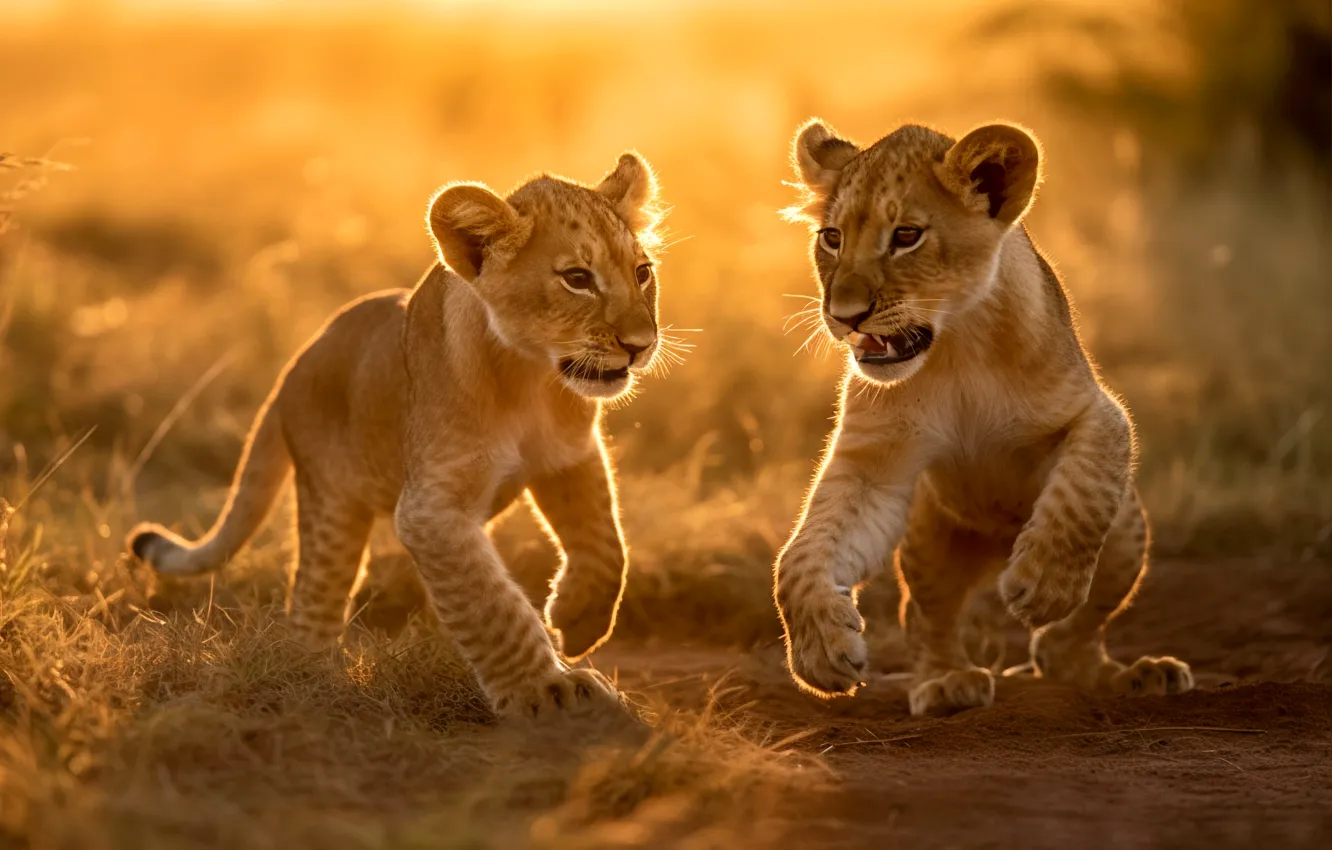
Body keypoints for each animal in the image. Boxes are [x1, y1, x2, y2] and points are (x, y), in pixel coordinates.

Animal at [128, 153, 666, 720]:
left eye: (642, 272)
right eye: (577, 279)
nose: (641, 344)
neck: (531, 378)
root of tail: (291, 368)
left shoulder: (570, 457)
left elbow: (606, 546)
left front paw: (579, 624)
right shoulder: (431, 510)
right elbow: (491, 604)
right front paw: (546, 690)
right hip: (331, 505)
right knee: (312, 603)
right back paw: (310, 680)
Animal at [773, 119, 1194, 715]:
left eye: (906, 236)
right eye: (831, 238)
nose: (843, 315)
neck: (956, 347)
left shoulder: (1097, 411)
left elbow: (1082, 495)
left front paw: (1044, 584)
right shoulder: (870, 461)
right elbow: (799, 556)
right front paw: (819, 653)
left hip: (1128, 534)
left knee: (1070, 637)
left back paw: (1132, 674)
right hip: (928, 539)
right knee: (929, 620)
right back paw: (947, 684)